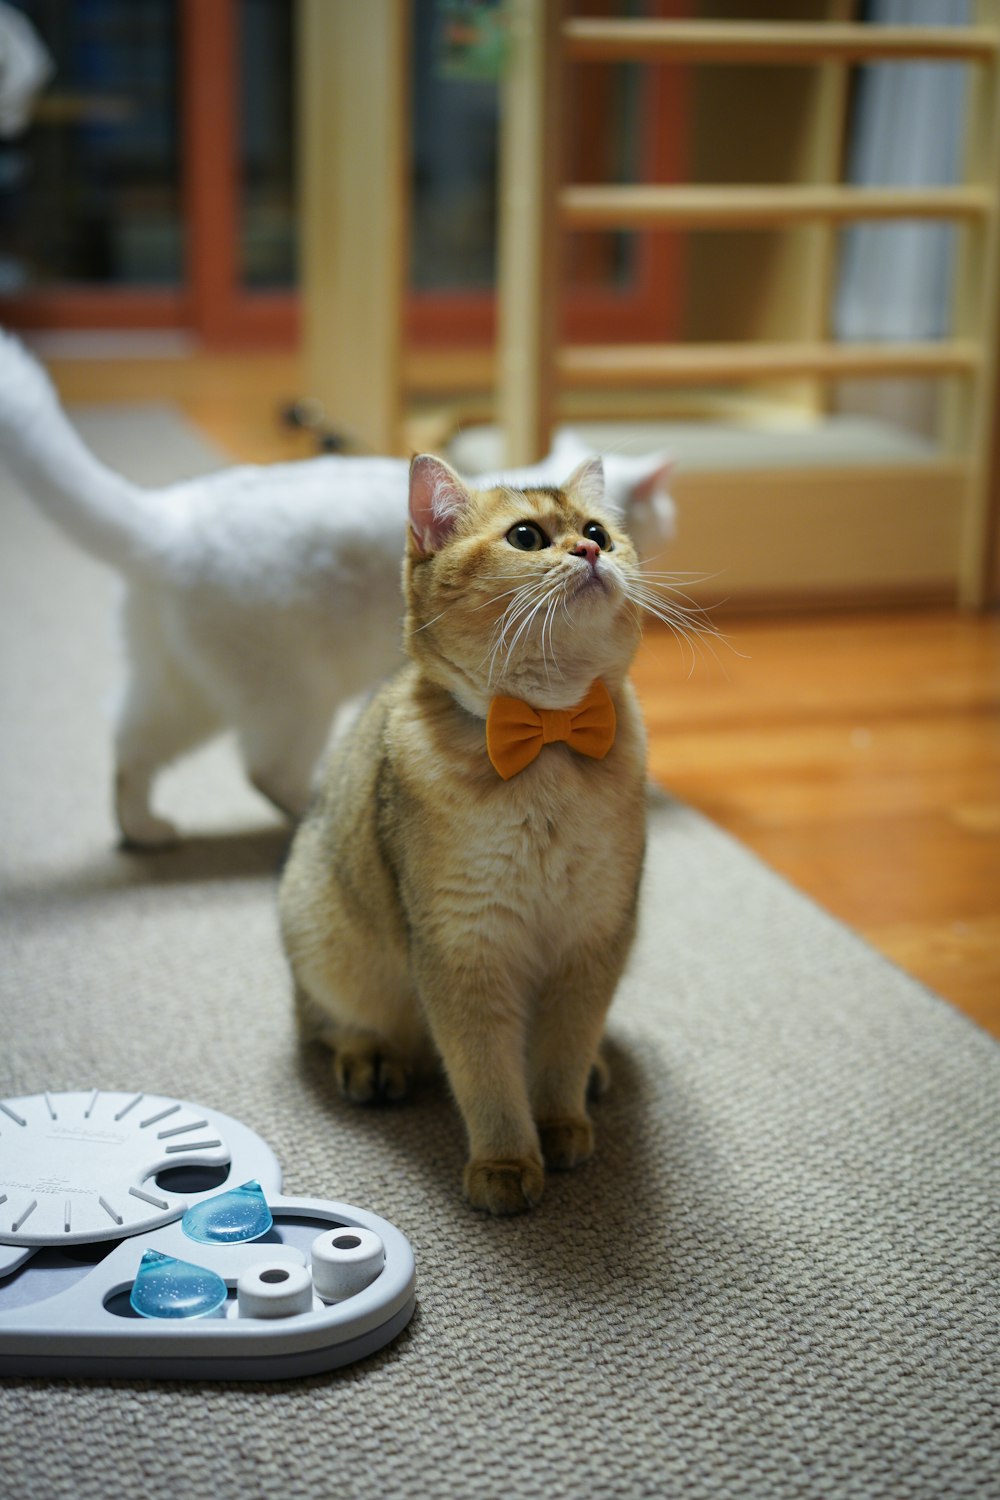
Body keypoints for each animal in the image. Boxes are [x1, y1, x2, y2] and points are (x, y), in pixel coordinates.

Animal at [0, 331, 677, 846]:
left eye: (598, 531)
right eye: (531, 537)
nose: (591, 548)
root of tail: (171, 517)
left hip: (178, 690)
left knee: (127, 744)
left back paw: (142, 829)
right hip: (292, 697)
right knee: (264, 770)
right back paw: (311, 815)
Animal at [277, 450, 650, 1212]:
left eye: (599, 529)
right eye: (527, 538)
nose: (591, 551)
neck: (549, 740)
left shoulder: (595, 939)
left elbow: (563, 1052)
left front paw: (562, 1122)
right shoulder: (463, 948)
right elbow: (484, 1073)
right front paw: (506, 1164)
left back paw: (597, 1073)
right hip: (323, 933)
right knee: (326, 1023)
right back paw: (371, 1059)